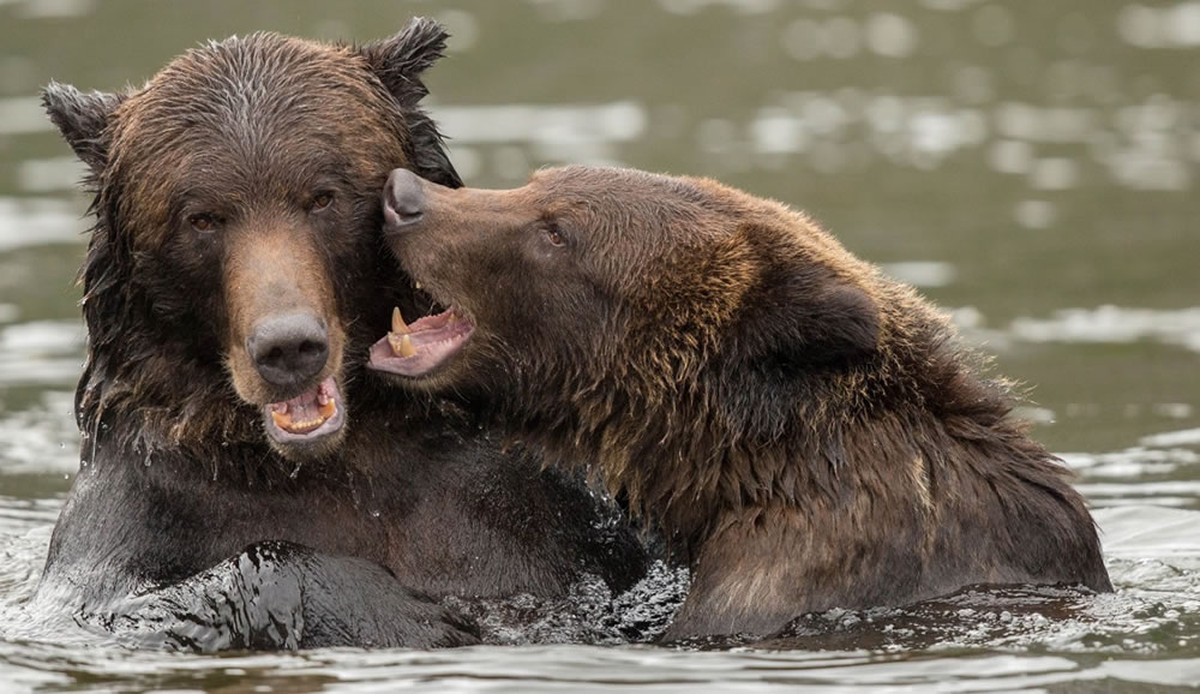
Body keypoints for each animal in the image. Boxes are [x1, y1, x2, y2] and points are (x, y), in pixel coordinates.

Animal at [37, 21, 652, 648]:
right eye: (202, 217)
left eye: (322, 196)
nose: (288, 346)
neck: (336, 459)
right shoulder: (143, 520)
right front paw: (413, 616)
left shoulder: (519, 502)